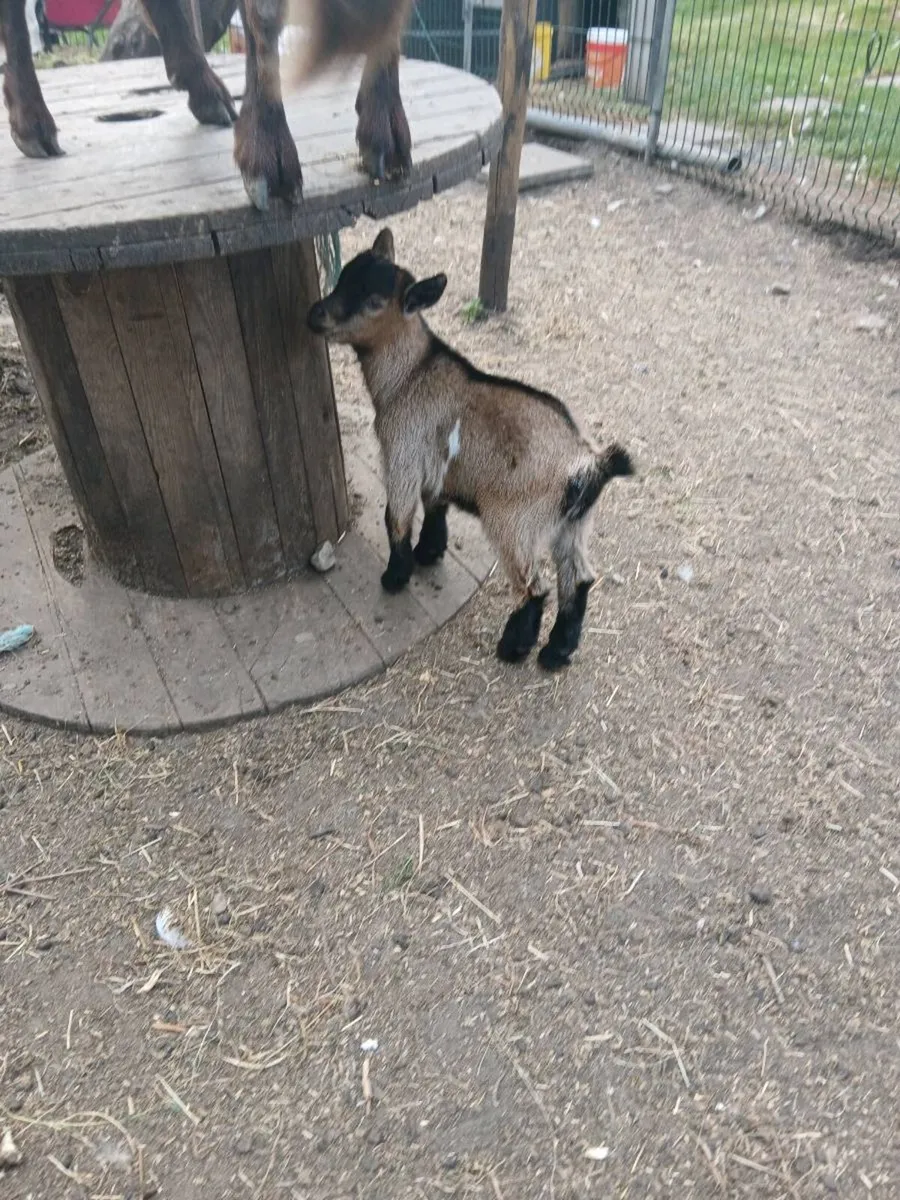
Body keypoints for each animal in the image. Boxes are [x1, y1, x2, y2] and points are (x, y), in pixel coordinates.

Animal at [307, 228, 634, 671]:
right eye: (342, 278)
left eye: (374, 300)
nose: (315, 314)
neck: (409, 375)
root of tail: (588, 463)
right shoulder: (435, 466)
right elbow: (435, 505)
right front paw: (429, 553)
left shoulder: (402, 455)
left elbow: (396, 518)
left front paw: (395, 576)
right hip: (572, 526)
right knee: (578, 580)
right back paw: (556, 652)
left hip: (514, 522)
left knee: (536, 587)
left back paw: (514, 648)